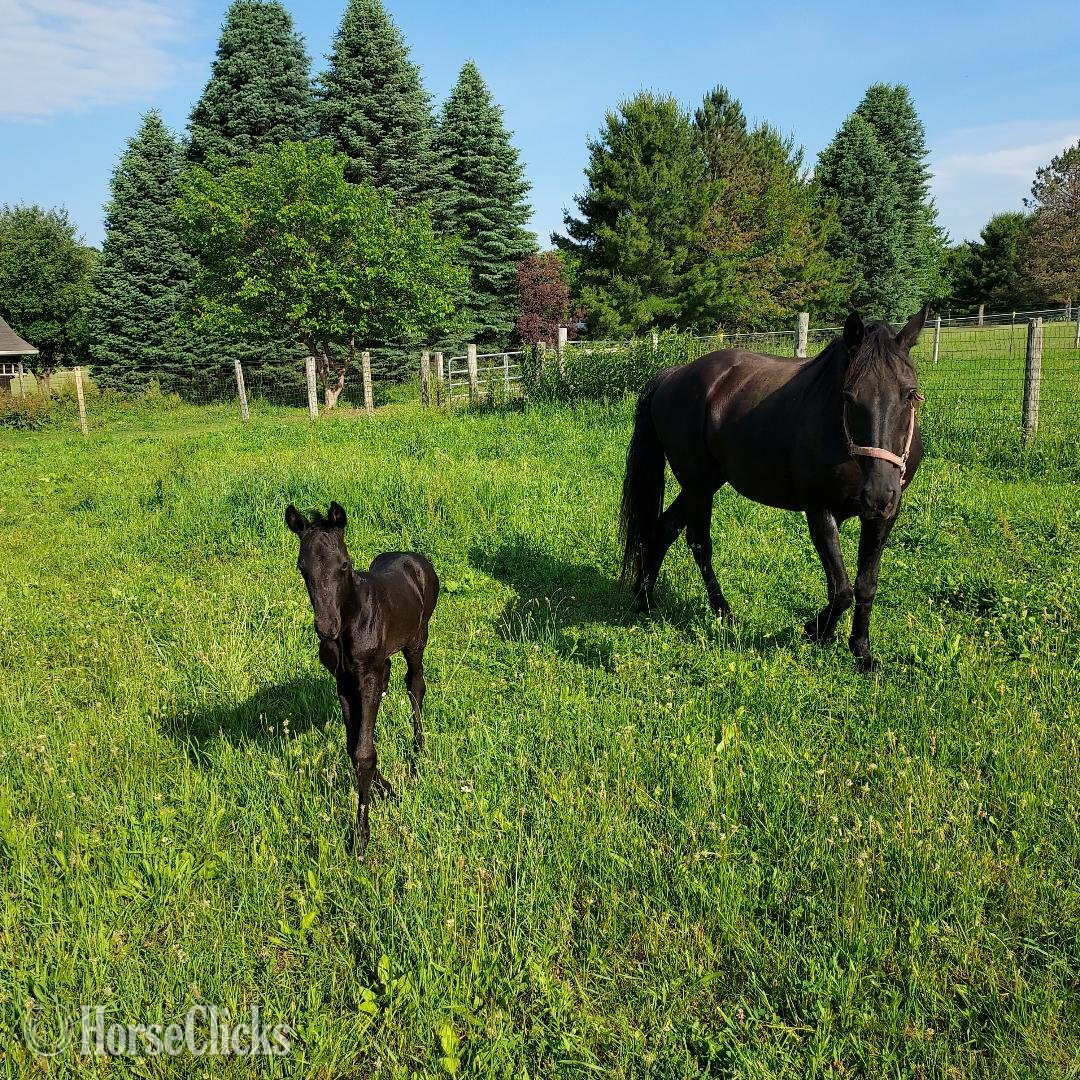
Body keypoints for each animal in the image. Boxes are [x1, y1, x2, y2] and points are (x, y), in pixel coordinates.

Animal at [285, 502, 439, 854]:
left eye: (344, 565)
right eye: (302, 568)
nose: (326, 628)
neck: (350, 619)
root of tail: (414, 557)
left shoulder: (366, 676)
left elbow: (364, 753)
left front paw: (361, 835)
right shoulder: (343, 681)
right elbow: (352, 744)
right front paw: (387, 789)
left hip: (417, 638)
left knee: (415, 686)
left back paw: (418, 748)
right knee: (389, 676)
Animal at [619, 307, 928, 672]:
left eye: (910, 393)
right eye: (849, 396)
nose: (879, 493)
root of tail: (672, 375)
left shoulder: (883, 516)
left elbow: (865, 586)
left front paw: (861, 652)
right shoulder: (819, 510)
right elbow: (841, 590)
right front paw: (816, 631)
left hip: (705, 482)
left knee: (665, 527)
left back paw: (646, 598)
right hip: (698, 485)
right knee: (698, 543)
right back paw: (722, 611)